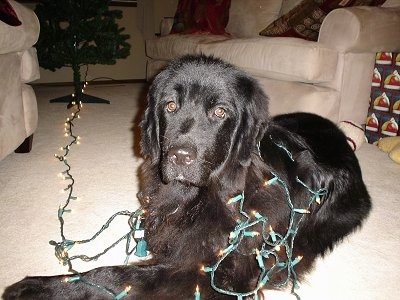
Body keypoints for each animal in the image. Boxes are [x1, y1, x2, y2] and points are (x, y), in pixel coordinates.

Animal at [3, 55, 372, 298]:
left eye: (220, 112)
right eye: (170, 106)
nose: (180, 156)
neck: (208, 193)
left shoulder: (218, 273)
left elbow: (119, 275)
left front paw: (34, 286)